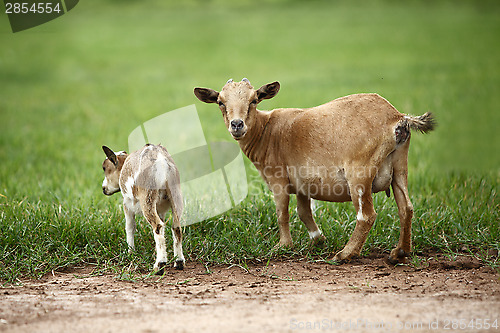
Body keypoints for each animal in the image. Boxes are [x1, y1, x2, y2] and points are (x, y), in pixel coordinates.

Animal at [100, 143, 185, 272]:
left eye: (105, 168)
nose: (104, 189)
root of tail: (161, 161)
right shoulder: (160, 210)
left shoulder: (127, 204)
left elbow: (130, 227)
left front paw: (130, 252)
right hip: (175, 195)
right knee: (176, 227)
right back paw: (179, 261)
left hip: (147, 197)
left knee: (158, 225)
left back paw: (160, 264)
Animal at [193, 78, 436, 262]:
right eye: (220, 102)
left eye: (254, 100)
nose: (237, 124)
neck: (267, 132)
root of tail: (398, 118)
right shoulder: (302, 183)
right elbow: (303, 211)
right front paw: (318, 240)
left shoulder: (278, 179)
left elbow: (282, 213)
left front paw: (283, 246)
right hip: (399, 165)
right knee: (406, 208)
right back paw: (399, 252)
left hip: (360, 171)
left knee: (366, 215)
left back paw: (345, 254)